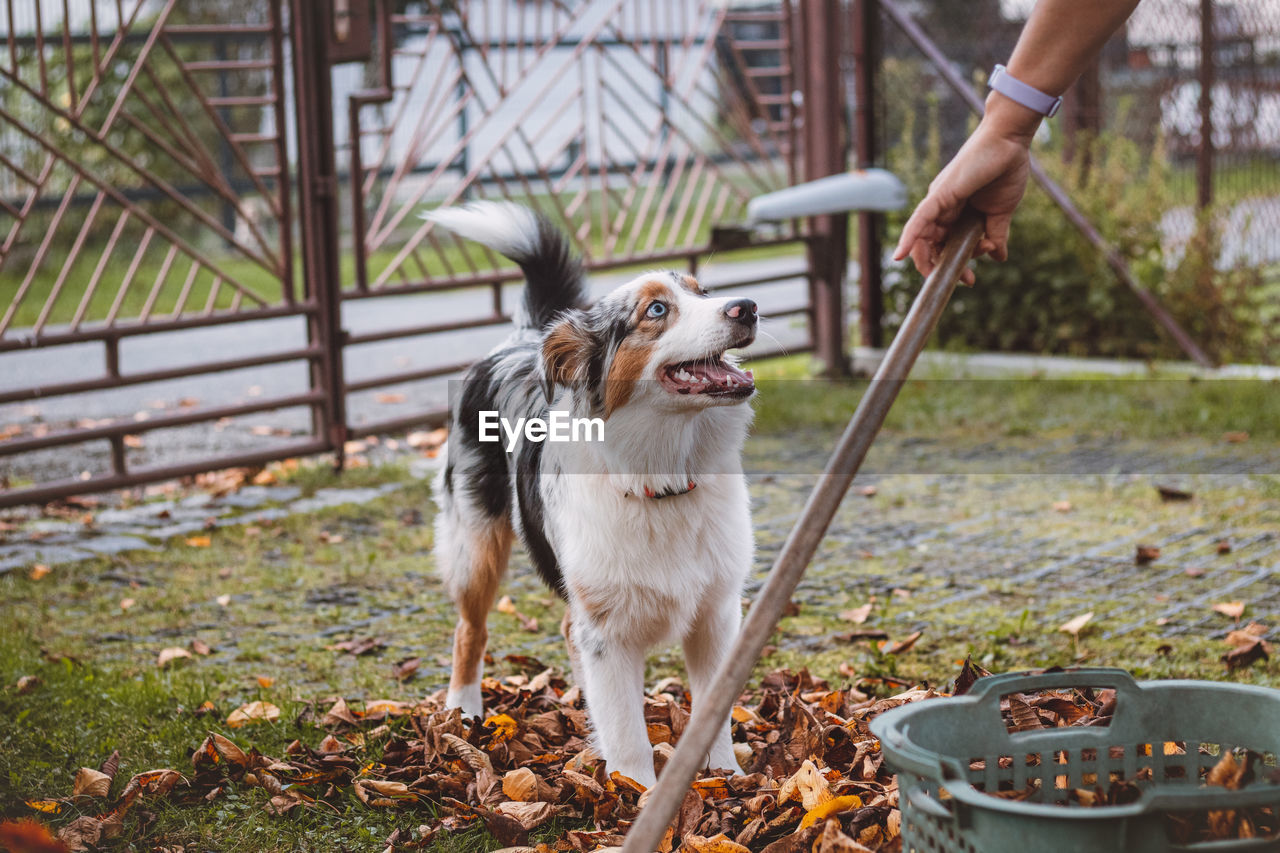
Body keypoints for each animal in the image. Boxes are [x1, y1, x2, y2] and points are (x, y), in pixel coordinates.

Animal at [424, 201, 752, 783]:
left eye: (704, 292)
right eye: (656, 310)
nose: (748, 308)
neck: (661, 480)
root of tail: (523, 335)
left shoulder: (716, 615)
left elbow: (713, 711)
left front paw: (727, 780)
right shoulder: (609, 632)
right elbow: (628, 736)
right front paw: (635, 793)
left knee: (562, 627)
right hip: (476, 546)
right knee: (470, 630)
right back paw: (462, 709)